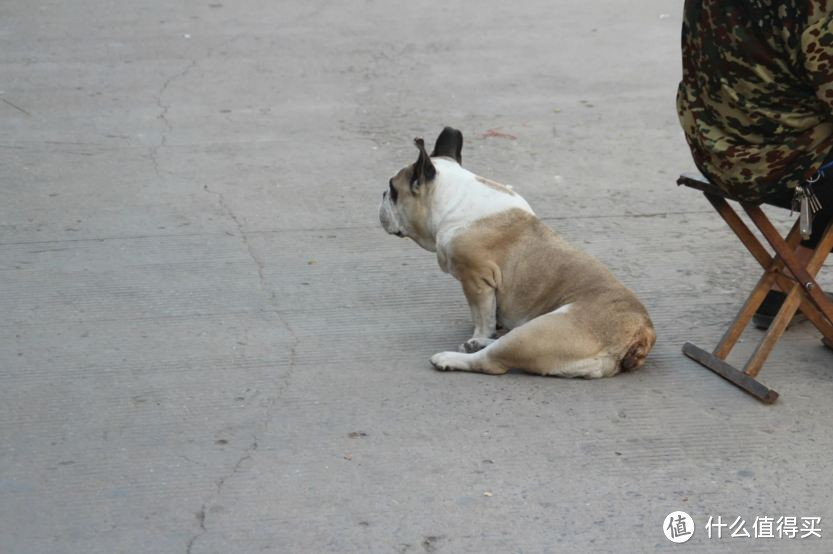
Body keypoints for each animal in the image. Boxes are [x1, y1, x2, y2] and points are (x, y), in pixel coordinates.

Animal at [378, 126, 656, 376]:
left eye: (392, 190)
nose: (381, 194)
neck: (453, 200)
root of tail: (640, 333)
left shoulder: (475, 279)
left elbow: (482, 317)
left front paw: (480, 332)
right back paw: (478, 344)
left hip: (538, 332)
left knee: (491, 361)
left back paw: (452, 356)